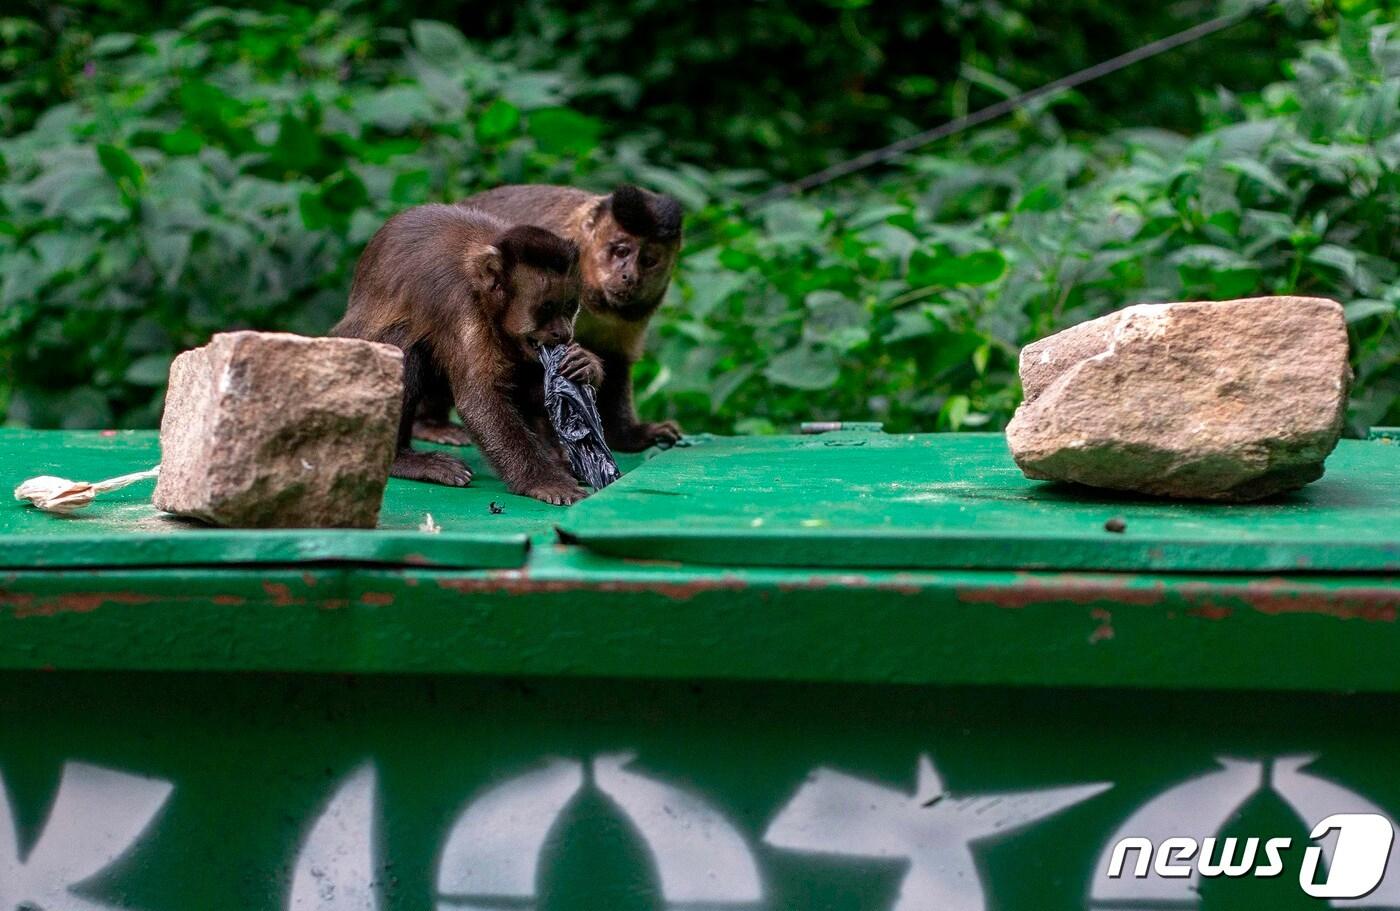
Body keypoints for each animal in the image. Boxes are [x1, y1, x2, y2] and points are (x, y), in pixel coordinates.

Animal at [338, 202, 607, 509]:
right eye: (546, 309)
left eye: (570, 307)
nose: (562, 333)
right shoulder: (461, 303)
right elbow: (479, 400)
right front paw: (544, 480)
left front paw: (585, 364)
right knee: (406, 346)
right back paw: (402, 459)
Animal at [408, 183, 683, 453]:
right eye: (621, 251)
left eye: (648, 261)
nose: (630, 276)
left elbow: (615, 359)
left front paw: (627, 436)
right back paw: (428, 423)